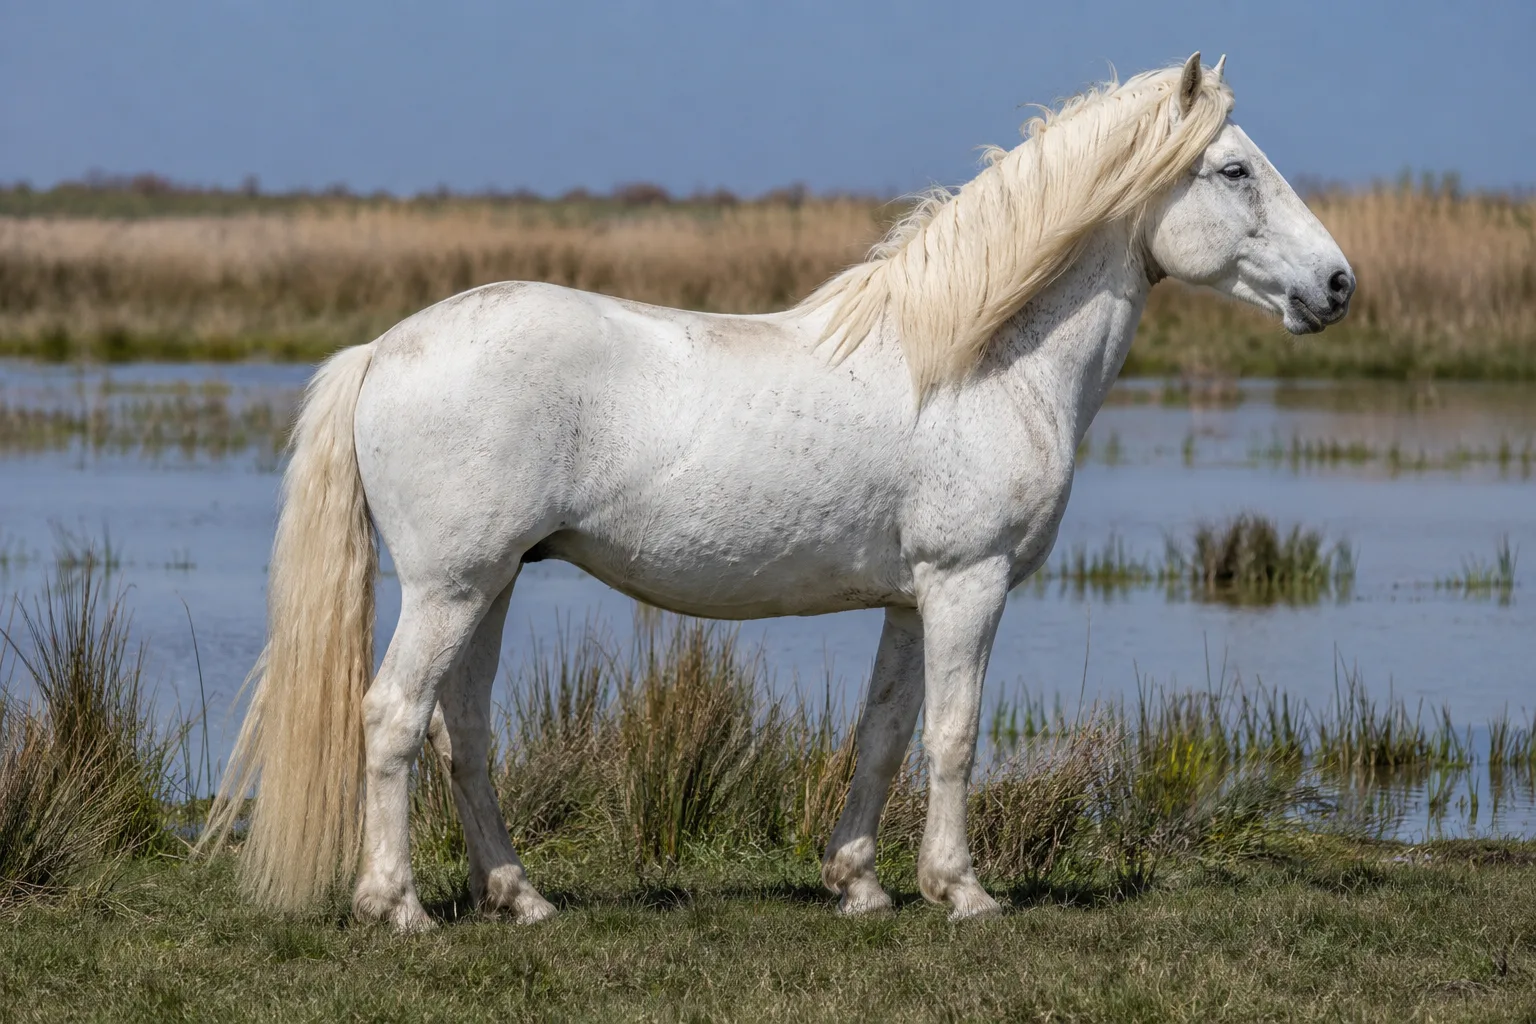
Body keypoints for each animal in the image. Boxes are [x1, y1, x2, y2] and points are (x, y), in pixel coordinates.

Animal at [201, 52, 1354, 930]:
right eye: (1235, 169)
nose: (1338, 285)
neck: (981, 360)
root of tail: (386, 348)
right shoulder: (967, 585)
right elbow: (953, 736)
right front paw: (964, 892)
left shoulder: (911, 599)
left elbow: (885, 732)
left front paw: (862, 885)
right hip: (452, 585)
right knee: (394, 717)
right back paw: (396, 907)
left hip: (490, 584)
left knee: (465, 732)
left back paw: (521, 898)